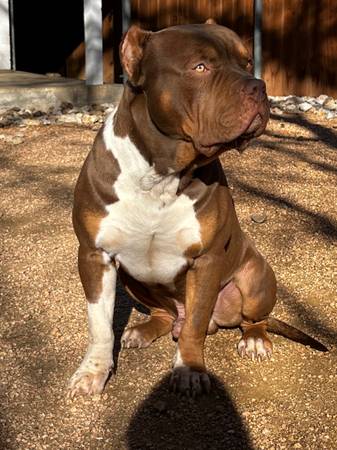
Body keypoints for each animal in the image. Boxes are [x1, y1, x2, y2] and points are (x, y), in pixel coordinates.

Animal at [67, 22, 326, 398]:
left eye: (247, 63)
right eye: (200, 67)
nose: (259, 86)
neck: (161, 173)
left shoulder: (206, 261)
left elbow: (195, 324)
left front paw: (188, 369)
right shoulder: (94, 255)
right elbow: (99, 324)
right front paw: (93, 372)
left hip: (257, 275)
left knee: (250, 319)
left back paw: (254, 339)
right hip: (133, 280)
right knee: (164, 314)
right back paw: (145, 330)